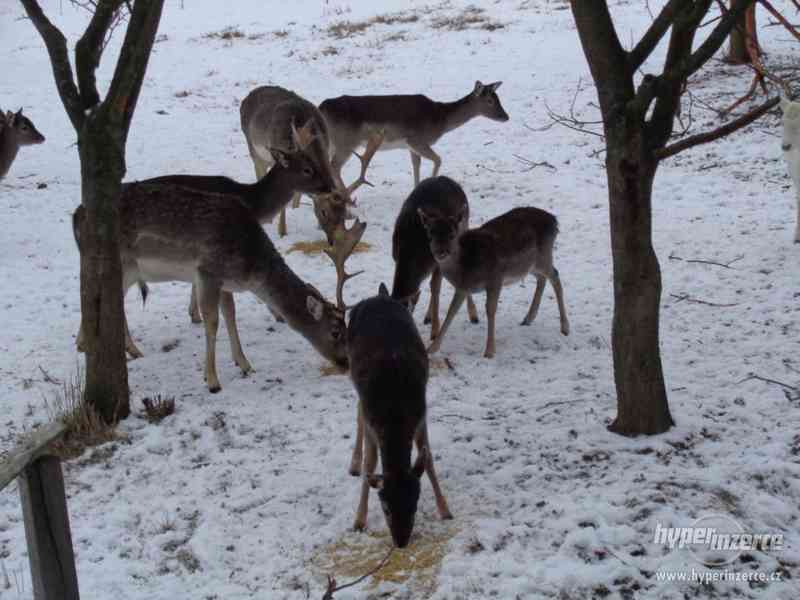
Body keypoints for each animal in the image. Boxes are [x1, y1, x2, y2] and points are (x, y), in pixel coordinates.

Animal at [318, 79, 506, 186]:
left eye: (498, 98)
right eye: (489, 101)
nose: (506, 117)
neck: (440, 120)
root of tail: (322, 108)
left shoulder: (411, 146)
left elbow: (416, 166)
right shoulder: (417, 139)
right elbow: (438, 159)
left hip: (332, 142)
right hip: (346, 141)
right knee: (334, 166)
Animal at [348, 284, 454, 548]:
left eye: (414, 505)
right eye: (385, 507)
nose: (401, 542)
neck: (395, 413)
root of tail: (379, 295)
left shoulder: (421, 413)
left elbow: (428, 459)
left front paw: (445, 509)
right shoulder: (373, 421)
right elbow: (370, 464)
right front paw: (359, 520)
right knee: (357, 409)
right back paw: (353, 462)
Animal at [390, 176, 478, 340]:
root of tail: (447, 178)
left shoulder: (437, 262)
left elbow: (435, 288)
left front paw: (435, 333)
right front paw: (430, 320)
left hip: (463, 228)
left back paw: (473, 315)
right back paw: (427, 317)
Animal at [422, 207, 572, 356]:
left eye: (452, 235)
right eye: (430, 234)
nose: (441, 253)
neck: (465, 265)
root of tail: (554, 220)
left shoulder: (495, 279)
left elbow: (490, 310)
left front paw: (489, 351)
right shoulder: (463, 288)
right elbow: (451, 312)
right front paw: (432, 348)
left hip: (543, 257)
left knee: (555, 276)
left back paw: (565, 327)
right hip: (530, 266)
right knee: (542, 278)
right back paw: (528, 318)